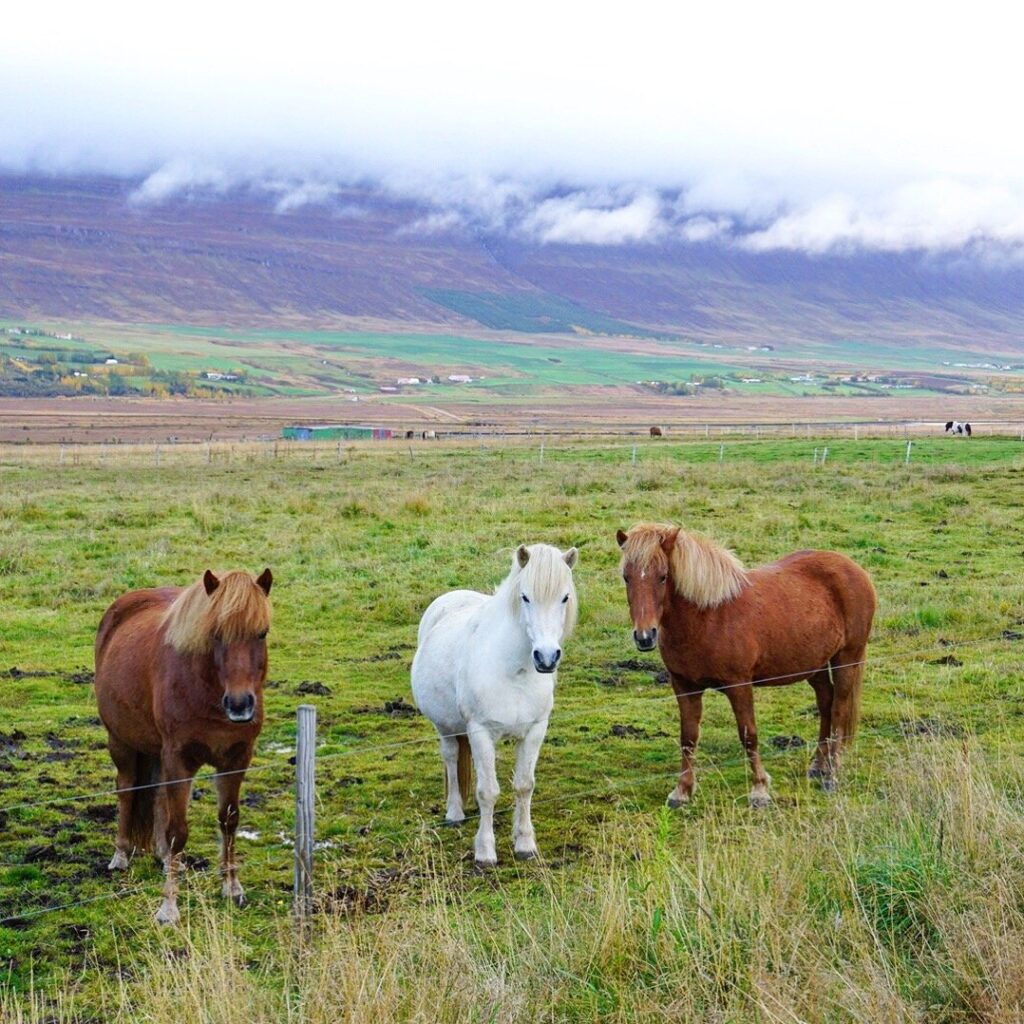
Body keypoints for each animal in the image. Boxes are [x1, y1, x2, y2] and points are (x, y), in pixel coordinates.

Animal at [94, 568, 272, 924]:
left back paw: (163, 858)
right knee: (126, 790)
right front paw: (168, 907)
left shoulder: (236, 758)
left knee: (157, 796)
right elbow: (178, 831)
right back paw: (121, 854)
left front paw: (232, 887)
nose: (240, 705)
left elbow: (229, 820)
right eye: (215, 634)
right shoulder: (179, 759)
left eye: (262, 633)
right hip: (121, 741)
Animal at [411, 544, 578, 866]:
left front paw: (525, 844)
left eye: (564, 597)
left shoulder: (535, 730)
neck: (514, 670)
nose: (546, 657)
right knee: (451, 758)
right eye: (525, 596)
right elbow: (487, 791)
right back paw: (455, 813)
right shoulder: (480, 731)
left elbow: (524, 786)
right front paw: (485, 852)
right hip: (446, 727)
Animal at [616, 525, 875, 807]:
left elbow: (748, 735)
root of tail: (855, 569)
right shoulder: (684, 686)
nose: (645, 637)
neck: (708, 616)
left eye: (663, 577)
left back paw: (832, 775)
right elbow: (688, 737)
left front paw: (759, 789)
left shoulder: (739, 685)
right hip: (813, 664)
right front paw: (682, 791)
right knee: (826, 704)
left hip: (847, 658)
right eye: (626, 577)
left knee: (839, 709)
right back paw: (818, 766)